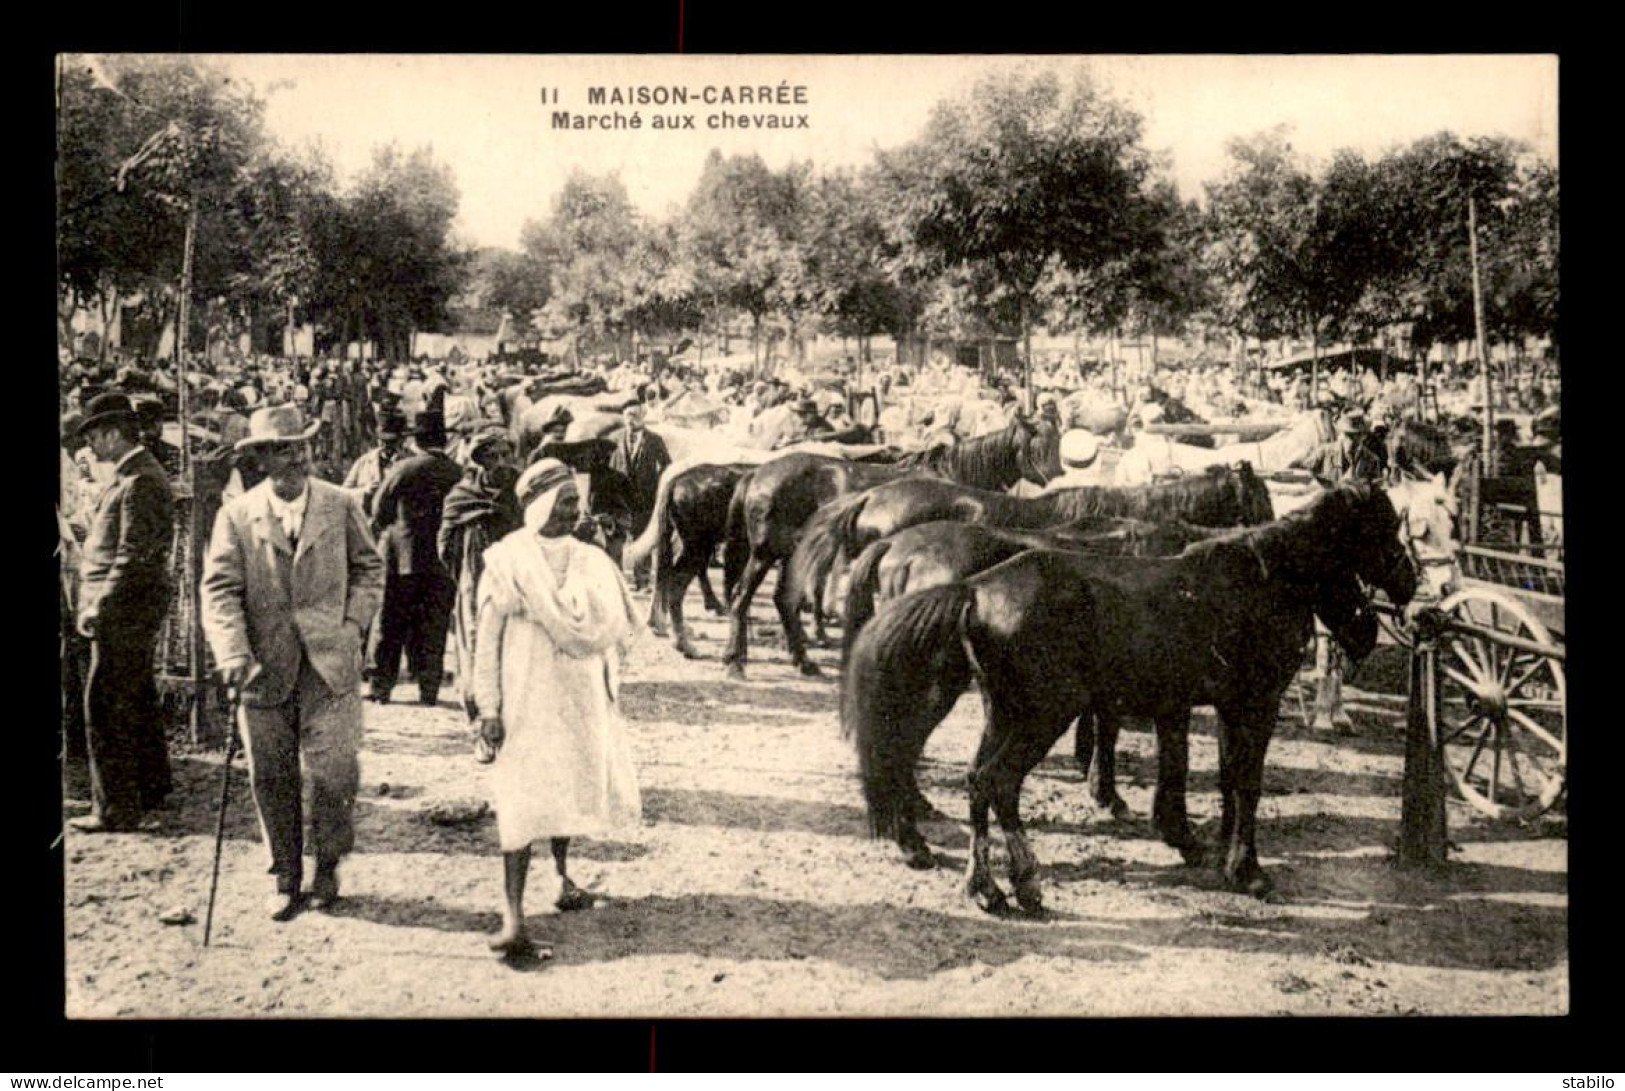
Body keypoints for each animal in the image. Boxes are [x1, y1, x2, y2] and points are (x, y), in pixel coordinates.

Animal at [721, 416, 1053, 679]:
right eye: (1035, 446)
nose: (1054, 477)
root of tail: (757, 473)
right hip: (765, 552)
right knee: (742, 596)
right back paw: (736, 661)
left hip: (792, 555)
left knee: (783, 600)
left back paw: (801, 661)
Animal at [845, 487, 1417, 910]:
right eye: (1386, 527)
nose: (1409, 583)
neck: (1260, 579)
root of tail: (975, 589)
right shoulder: (1255, 705)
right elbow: (1245, 784)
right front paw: (1247, 870)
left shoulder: (1220, 706)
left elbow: (1226, 781)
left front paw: (1217, 853)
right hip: (1036, 716)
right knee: (992, 780)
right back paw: (1006, 882)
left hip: (1002, 715)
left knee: (976, 782)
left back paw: (981, 879)